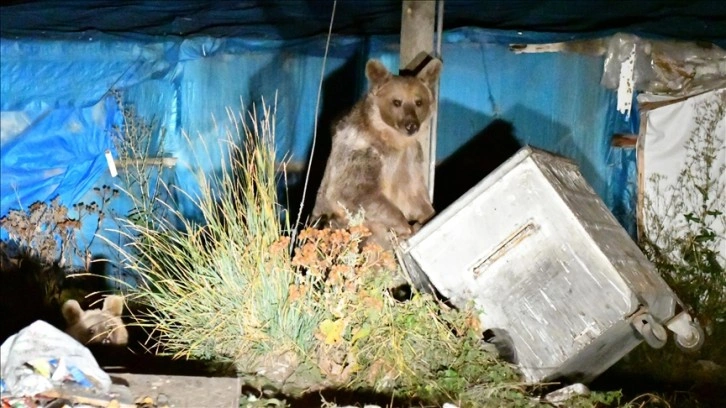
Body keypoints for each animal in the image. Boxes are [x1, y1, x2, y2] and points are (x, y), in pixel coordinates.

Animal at [312, 57, 444, 249]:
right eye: (397, 101)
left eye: (419, 102)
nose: (411, 125)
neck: (393, 140)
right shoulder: (362, 152)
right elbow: (356, 192)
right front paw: (405, 227)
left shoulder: (410, 158)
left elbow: (414, 194)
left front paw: (426, 214)